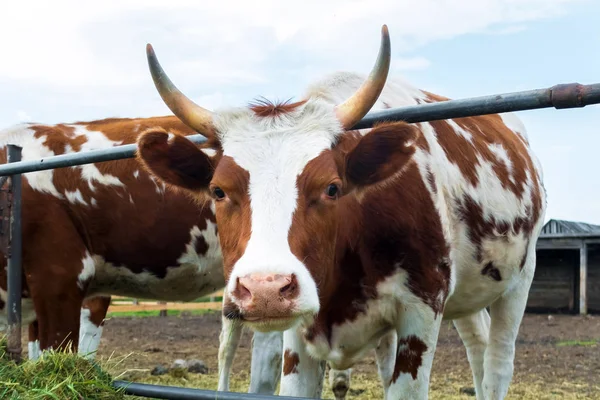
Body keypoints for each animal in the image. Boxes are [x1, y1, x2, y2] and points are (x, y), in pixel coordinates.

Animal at [137, 24, 548, 400]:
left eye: (332, 187)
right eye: (218, 190)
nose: (266, 290)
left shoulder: (422, 310)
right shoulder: (299, 336)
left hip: (520, 280)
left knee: (497, 363)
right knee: (477, 345)